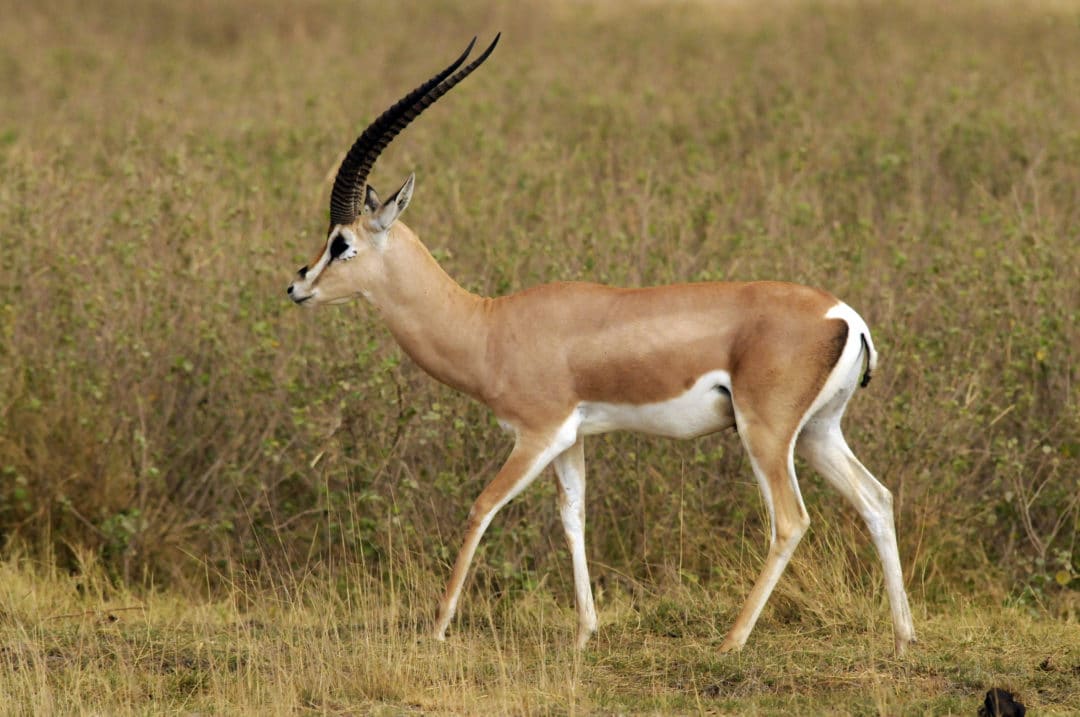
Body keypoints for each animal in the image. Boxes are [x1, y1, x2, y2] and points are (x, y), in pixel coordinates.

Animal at [286, 35, 916, 655]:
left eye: (341, 244)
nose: (297, 286)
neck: (489, 326)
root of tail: (846, 316)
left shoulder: (536, 434)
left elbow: (481, 507)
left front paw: (438, 625)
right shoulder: (571, 439)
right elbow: (574, 519)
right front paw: (586, 632)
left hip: (766, 434)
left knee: (790, 519)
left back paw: (731, 643)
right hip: (816, 432)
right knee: (876, 498)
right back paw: (904, 636)